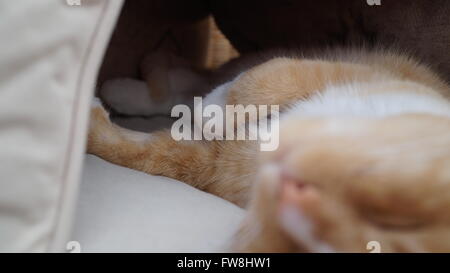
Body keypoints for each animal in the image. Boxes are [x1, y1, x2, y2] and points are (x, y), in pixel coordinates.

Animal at [88, 48, 450, 251]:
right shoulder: (344, 74)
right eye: (398, 216)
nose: (295, 185)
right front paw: (212, 111)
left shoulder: (213, 164)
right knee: (191, 81)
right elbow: (263, 80)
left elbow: (143, 154)